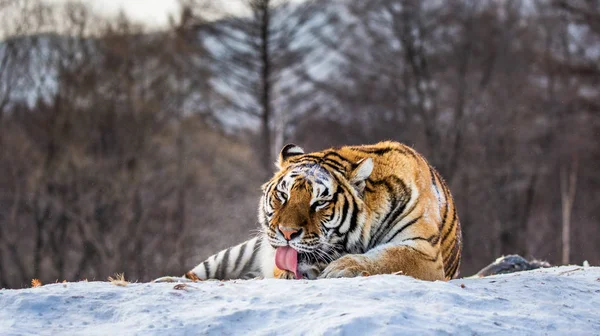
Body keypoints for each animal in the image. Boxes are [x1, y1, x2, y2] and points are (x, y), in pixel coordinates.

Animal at [156, 140, 464, 282]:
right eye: (283, 196)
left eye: (319, 203)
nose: (287, 233)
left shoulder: (423, 252)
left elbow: (387, 258)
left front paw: (341, 268)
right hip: (236, 253)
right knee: (196, 275)